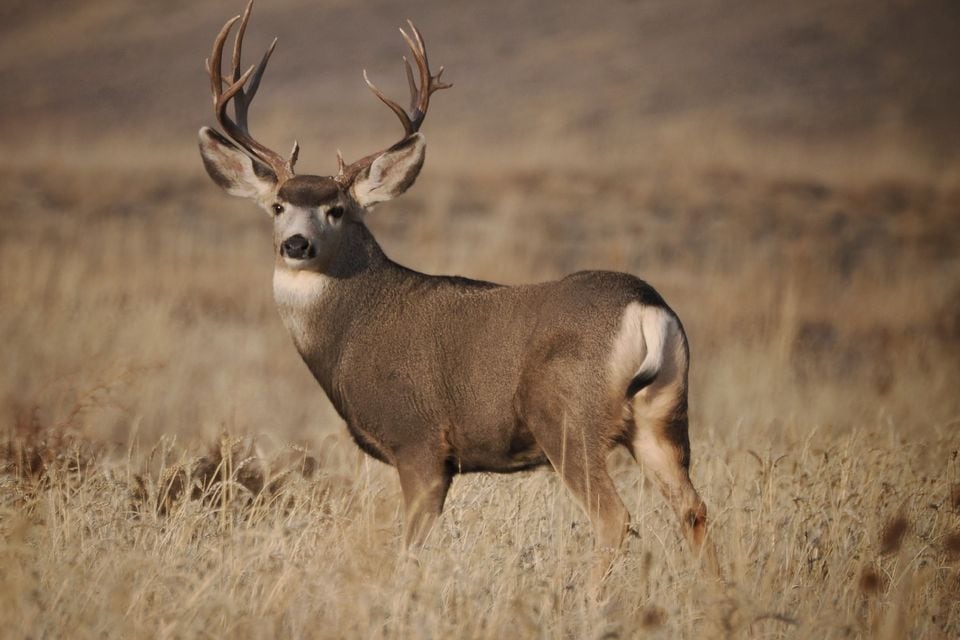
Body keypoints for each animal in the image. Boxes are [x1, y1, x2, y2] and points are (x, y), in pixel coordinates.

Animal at [198, 0, 719, 587]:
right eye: (278, 206)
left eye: (337, 209)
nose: (296, 244)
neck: (352, 331)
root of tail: (647, 307)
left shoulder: (420, 440)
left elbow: (410, 546)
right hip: (663, 417)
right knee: (694, 509)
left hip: (568, 418)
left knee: (615, 517)